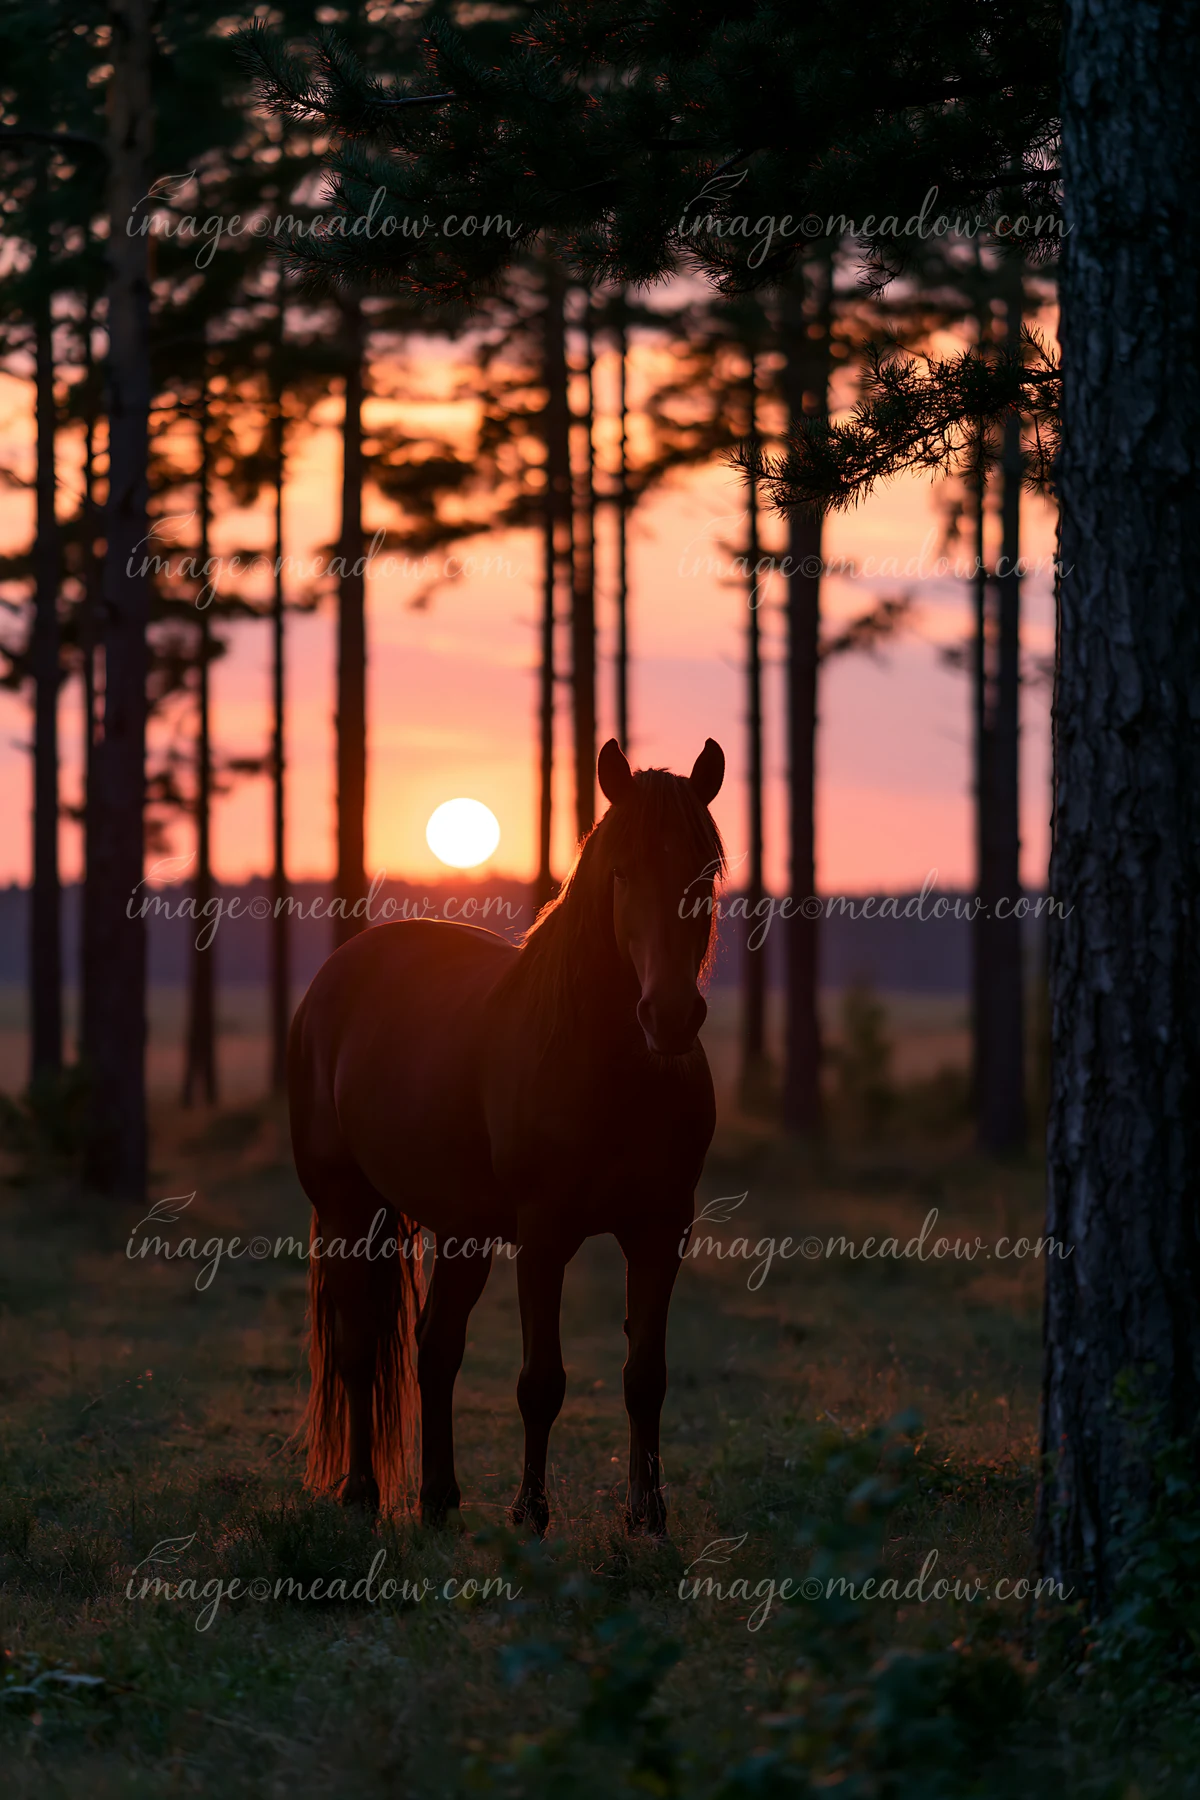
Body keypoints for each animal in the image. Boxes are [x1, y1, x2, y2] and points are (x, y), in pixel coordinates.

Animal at [287, 736, 726, 1535]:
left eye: (704, 873)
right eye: (622, 870)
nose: (671, 1016)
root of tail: (338, 973)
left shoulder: (661, 1230)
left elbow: (645, 1376)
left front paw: (647, 1516)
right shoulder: (544, 1233)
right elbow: (541, 1381)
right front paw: (530, 1514)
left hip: (463, 1230)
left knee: (434, 1348)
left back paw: (437, 1500)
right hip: (346, 1208)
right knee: (361, 1346)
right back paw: (362, 1493)